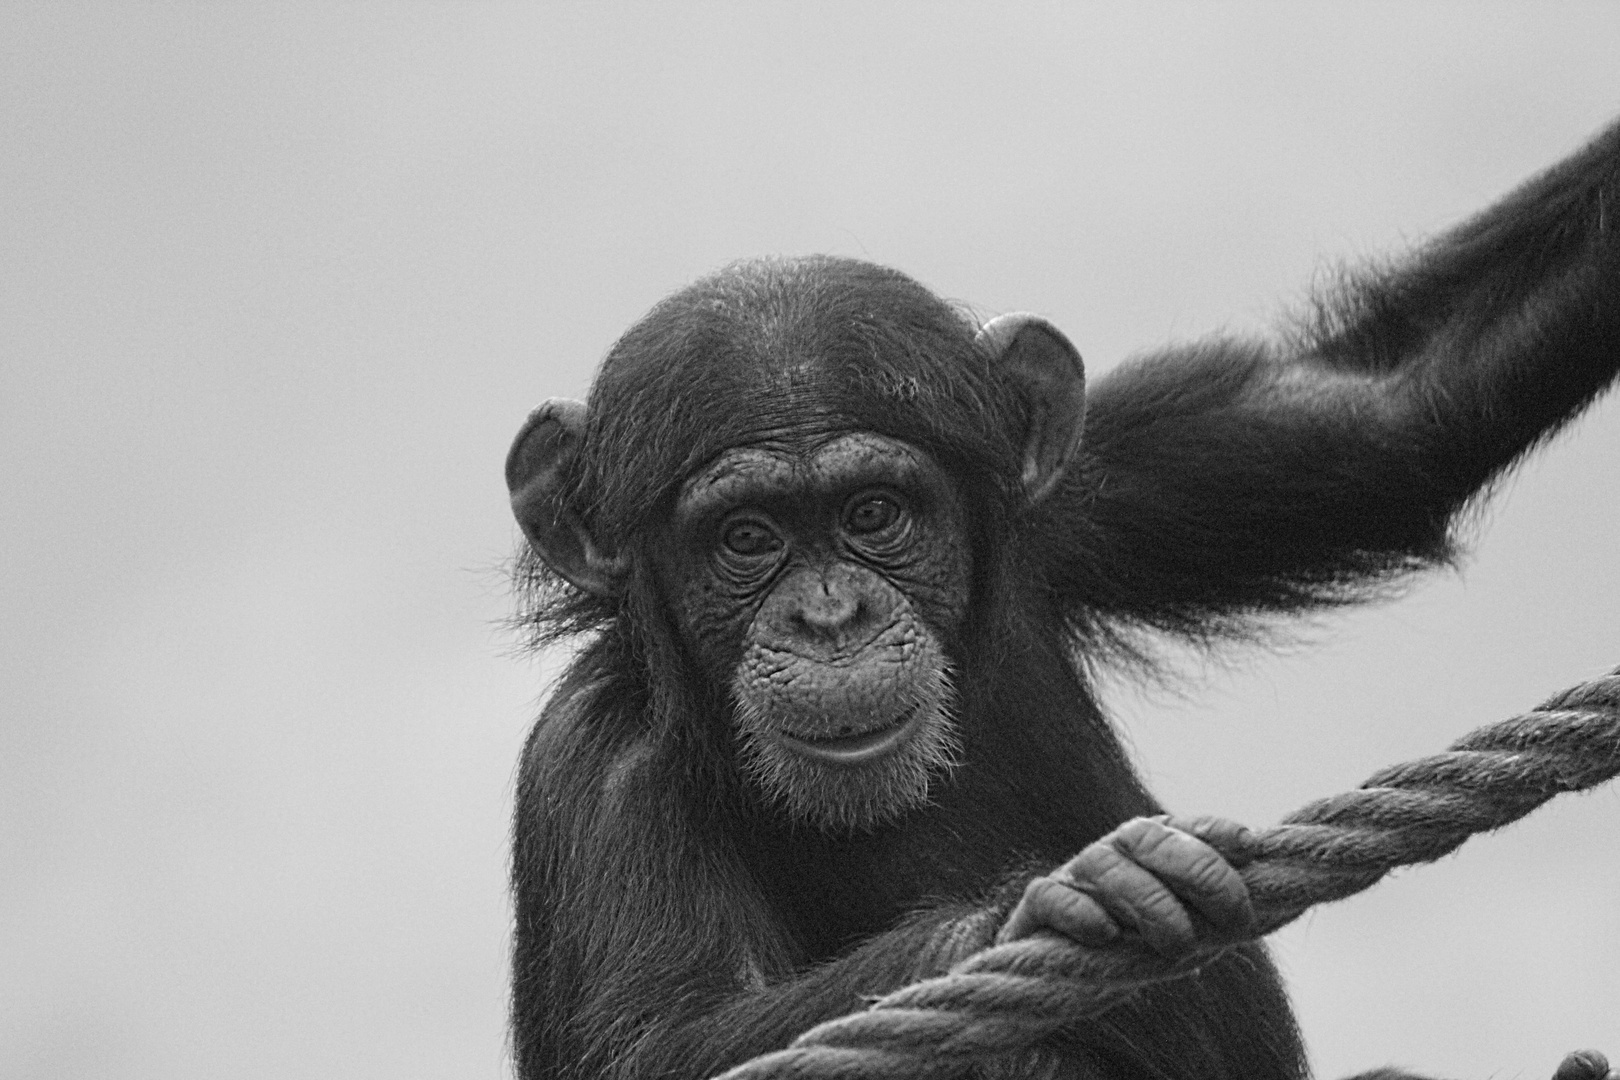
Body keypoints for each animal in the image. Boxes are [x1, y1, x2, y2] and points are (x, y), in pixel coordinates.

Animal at [505, 120, 1620, 1080]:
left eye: (875, 512)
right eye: (747, 537)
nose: (830, 616)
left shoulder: (1088, 491)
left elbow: (1395, 414)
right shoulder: (601, 770)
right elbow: (661, 1041)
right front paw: (1057, 907)